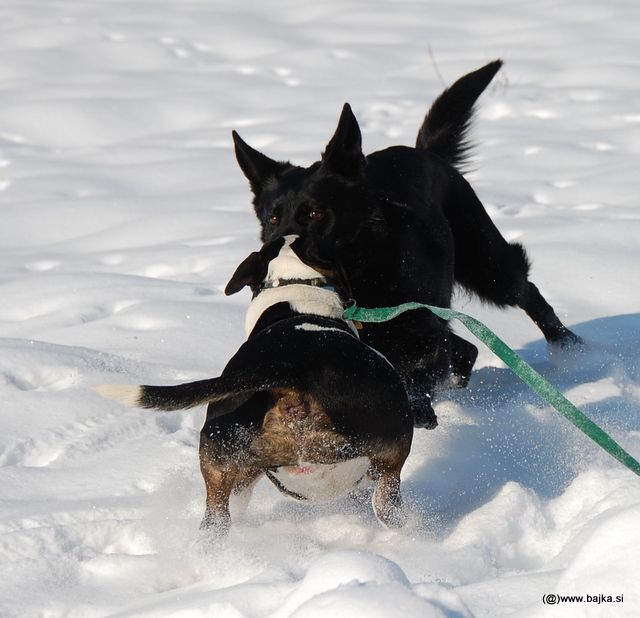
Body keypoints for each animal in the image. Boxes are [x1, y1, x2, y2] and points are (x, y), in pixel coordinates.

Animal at [97, 233, 412, 532]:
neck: (295, 286)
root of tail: (291, 373)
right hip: (386, 457)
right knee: (385, 504)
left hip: (222, 459)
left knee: (218, 520)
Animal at [232, 61, 584, 428]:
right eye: (272, 219)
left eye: (315, 213)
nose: (268, 258)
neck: (362, 276)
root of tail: (426, 153)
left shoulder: (420, 331)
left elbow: (415, 374)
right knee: (465, 349)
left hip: (487, 267)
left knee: (524, 292)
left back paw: (569, 349)